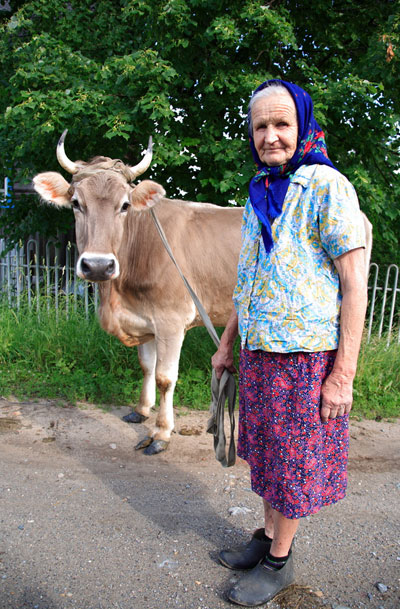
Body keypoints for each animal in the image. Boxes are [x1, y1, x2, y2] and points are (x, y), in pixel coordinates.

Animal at [33, 131, 243, 455]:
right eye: (76, 203)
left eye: (124, 205)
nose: (98, 265)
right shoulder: (145, 319)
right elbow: (147, 367)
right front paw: (142, 411)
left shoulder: (171, 322)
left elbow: (165, 378)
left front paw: (161, 433)